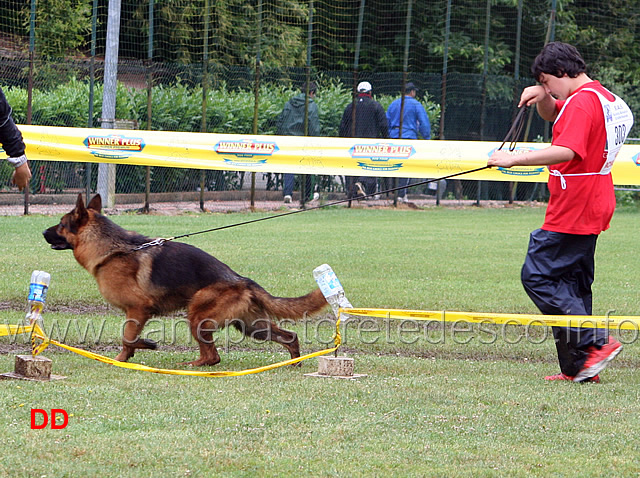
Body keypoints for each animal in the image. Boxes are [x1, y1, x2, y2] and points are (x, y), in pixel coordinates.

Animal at [42, 194, 328, 366]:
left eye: (60, 225)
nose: (42, 232)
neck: (112, 250)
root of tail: (242, 280)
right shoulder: (136, 313)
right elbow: (129, 339)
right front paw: (134, 352)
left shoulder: (138, 310)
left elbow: (127, 338)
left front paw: (129, 354)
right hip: (251, 327)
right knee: (289, 336)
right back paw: (294, 362)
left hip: (197, 315)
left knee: (213, 357)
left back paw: (193, 365)